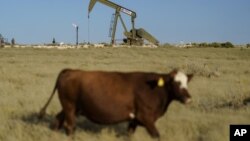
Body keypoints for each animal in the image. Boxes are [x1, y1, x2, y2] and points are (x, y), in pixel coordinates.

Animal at [38, 69, 193, 138]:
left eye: (186, 82)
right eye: (175, 82)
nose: (188, 98)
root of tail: (70, 71)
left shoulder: (134, 120)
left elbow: (129, 135)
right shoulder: (146, 117)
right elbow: (157, 135)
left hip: (70, 107)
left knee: (57, 121)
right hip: (70, 106)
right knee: (69, 127)